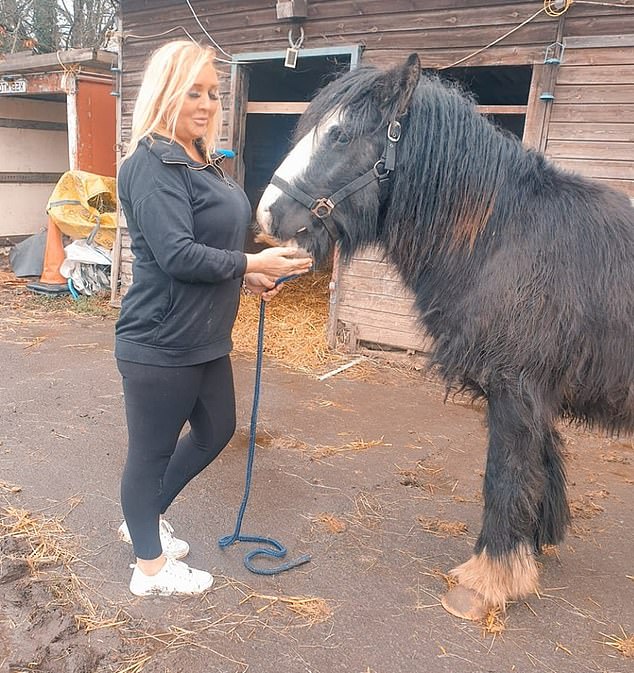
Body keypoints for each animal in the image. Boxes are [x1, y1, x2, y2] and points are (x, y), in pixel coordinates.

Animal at [253, 52, 632, 620]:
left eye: (340, 135)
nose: (267, 214)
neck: (501, 238)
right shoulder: (534, 395)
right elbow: (540, 469)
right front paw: (529, 549)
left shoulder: (516, 389)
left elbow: (506, 475)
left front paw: (489, 579)